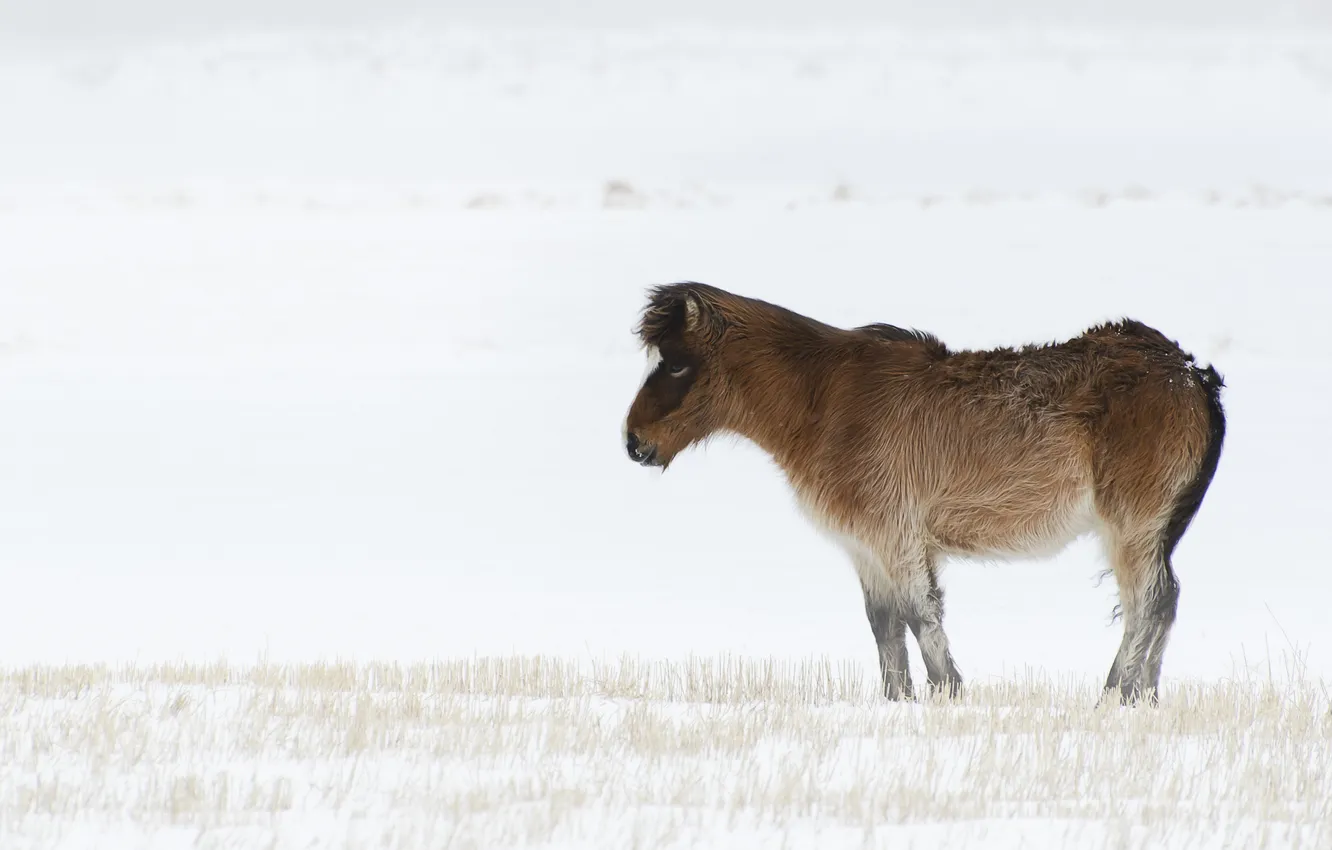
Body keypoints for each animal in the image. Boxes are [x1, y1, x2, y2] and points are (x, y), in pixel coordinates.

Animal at [623, 282, 1225, 703]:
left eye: (675, 364)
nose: (633, 443)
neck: (823, 400)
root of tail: (1190, 373)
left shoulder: (895, 536)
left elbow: (920, 615)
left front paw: (948, 693)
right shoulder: (865, 547)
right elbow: (885, 624)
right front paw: (898, 701)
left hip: (1131, 528)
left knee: (1147, 603)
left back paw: (1114, 697)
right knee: (1166, 602)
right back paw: (1142, 699)